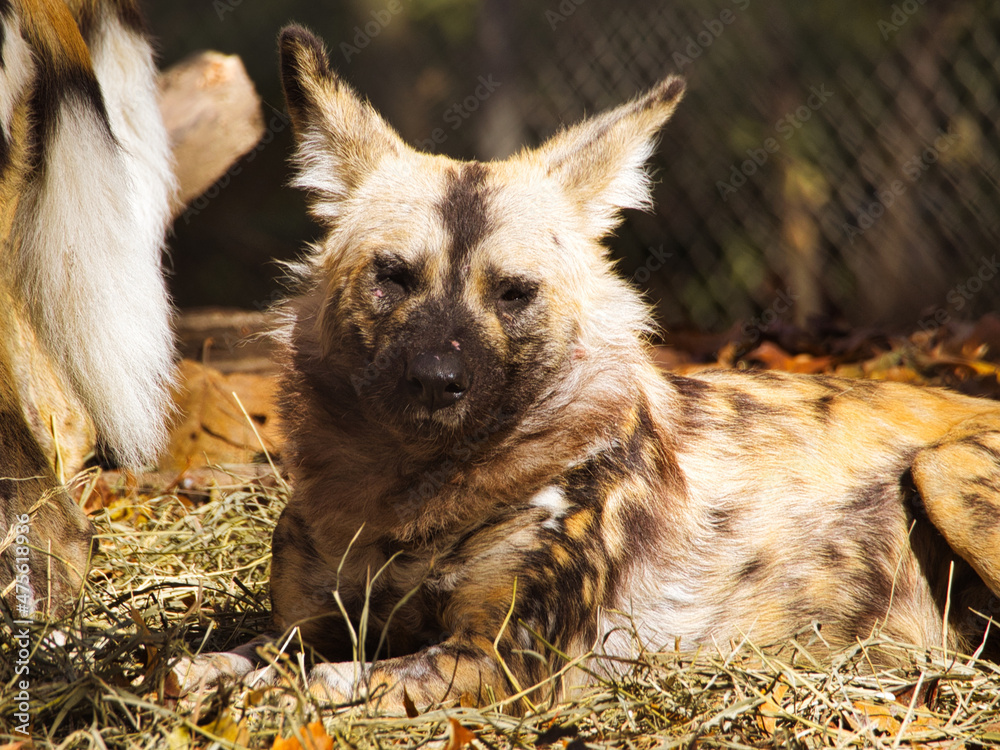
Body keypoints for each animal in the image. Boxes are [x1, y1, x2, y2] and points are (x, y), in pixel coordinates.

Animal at [172, 26, 1000, 712]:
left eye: (514, 293)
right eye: (394, 277)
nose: (437, 380)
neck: (408, 495)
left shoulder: (499, 659)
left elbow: (322, 683)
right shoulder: (304, 628)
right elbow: (207, 665)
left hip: (944, 471)